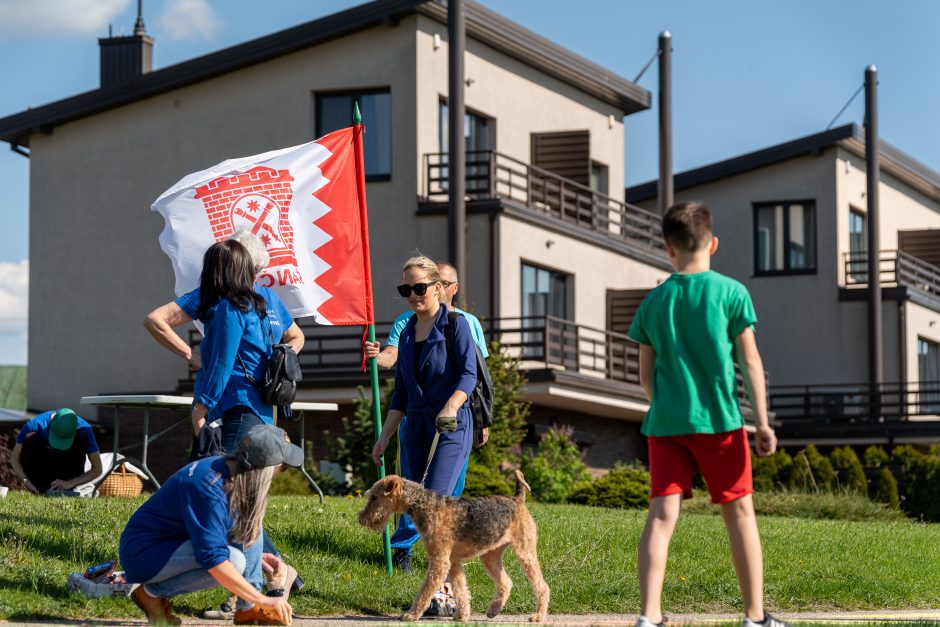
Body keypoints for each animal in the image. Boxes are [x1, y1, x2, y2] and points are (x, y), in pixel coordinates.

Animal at [360, 472, 552, 624]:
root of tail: (517, 499)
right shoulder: (453, 562)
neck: (422, 504)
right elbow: (461, 590)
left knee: (542, 586)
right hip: (490, 556)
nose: (361, 519)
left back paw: (538, 617)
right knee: (506, 582)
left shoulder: (440, 561)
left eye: (374, 497)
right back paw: (493, 610)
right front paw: (462, 615)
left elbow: (425, 591)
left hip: (525, 552)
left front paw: (411, 615)